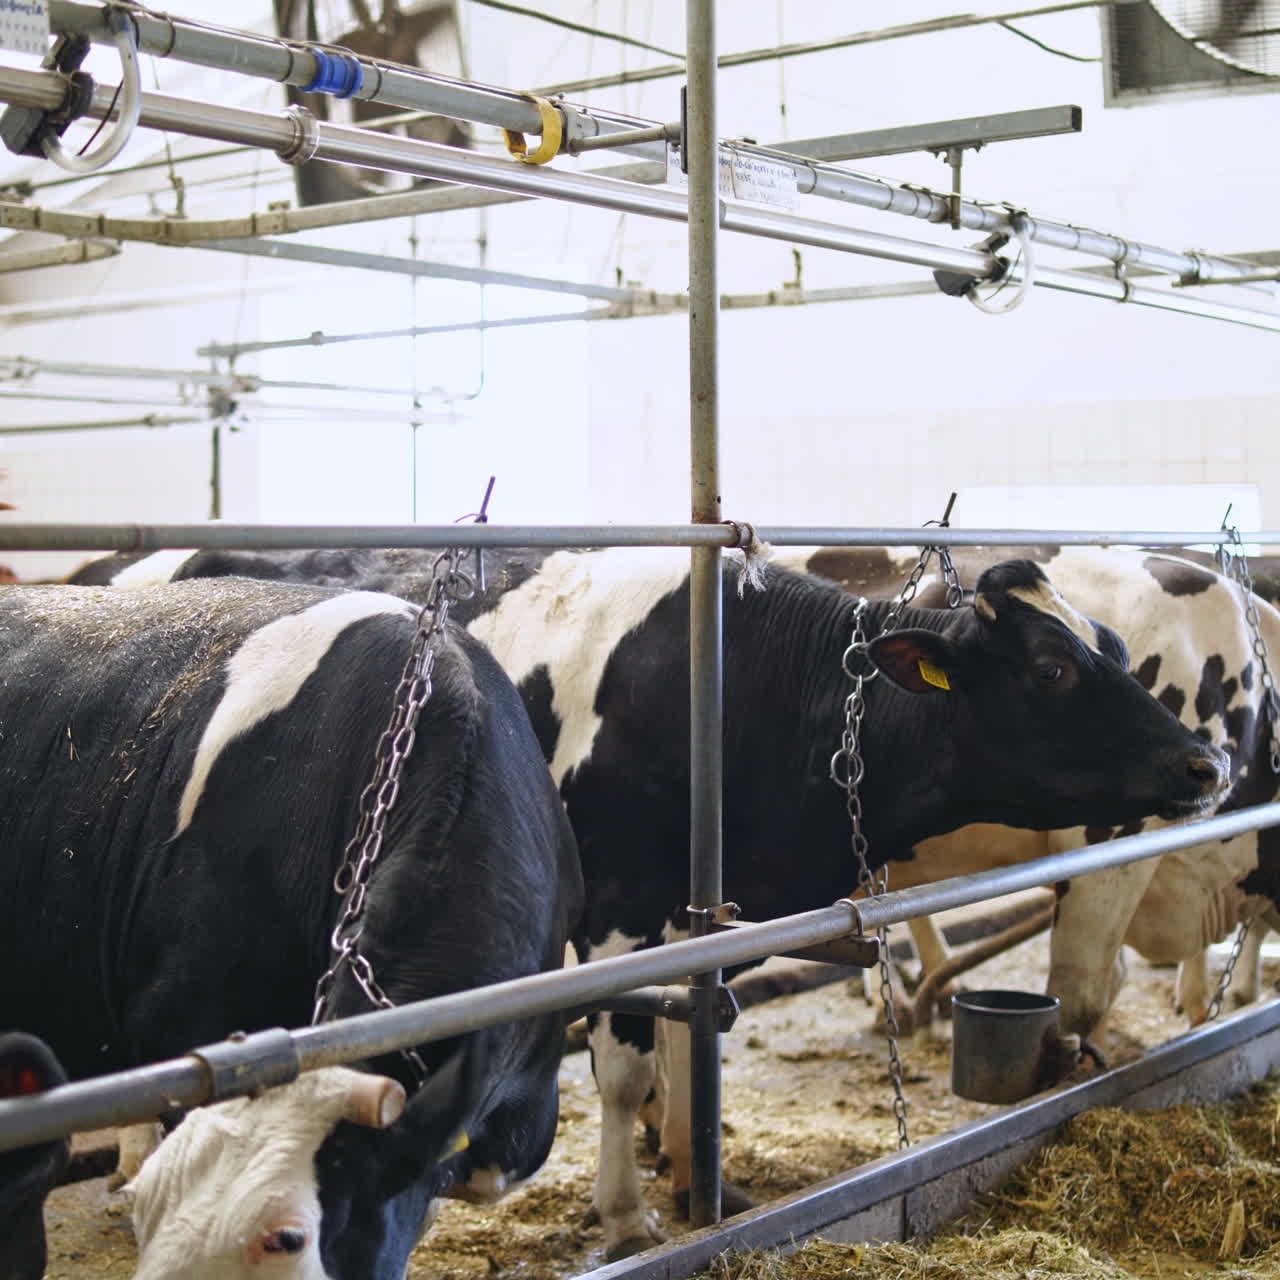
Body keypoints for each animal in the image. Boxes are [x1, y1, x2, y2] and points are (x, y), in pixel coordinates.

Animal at [75, 545, 1231, 1257]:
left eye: (1113, 649)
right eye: (1048, 669)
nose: (1204, 761)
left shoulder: (694, 905)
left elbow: (693, 1024)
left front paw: (690, 1165)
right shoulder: (621, 905)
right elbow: (628, 1063)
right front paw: (629, 1213)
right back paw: (134, 1165)